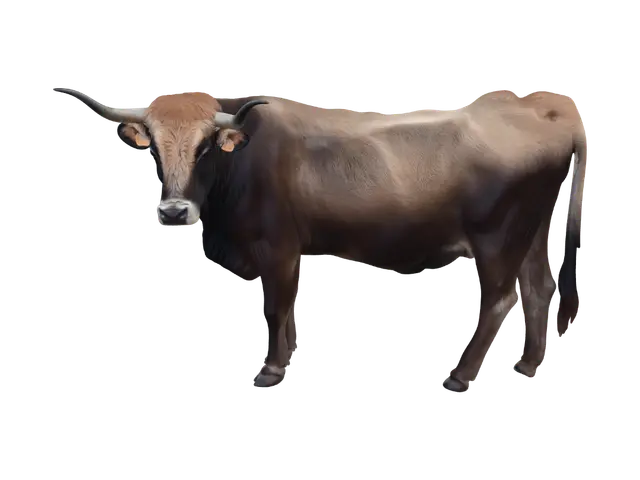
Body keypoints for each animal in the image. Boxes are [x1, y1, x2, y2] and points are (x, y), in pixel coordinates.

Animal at [48, 87, 588, 393]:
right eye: (154, 146)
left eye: (205, 147)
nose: (175, 211)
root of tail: (543, 104)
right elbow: (289, 309)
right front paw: (282, 362)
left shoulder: (278, 248)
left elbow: (275, 307)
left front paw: (270, 370)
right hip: (529, 232)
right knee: (538, 289)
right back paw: (528, 366)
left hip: (497, 237)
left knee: (500, 297)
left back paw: (459, 377)